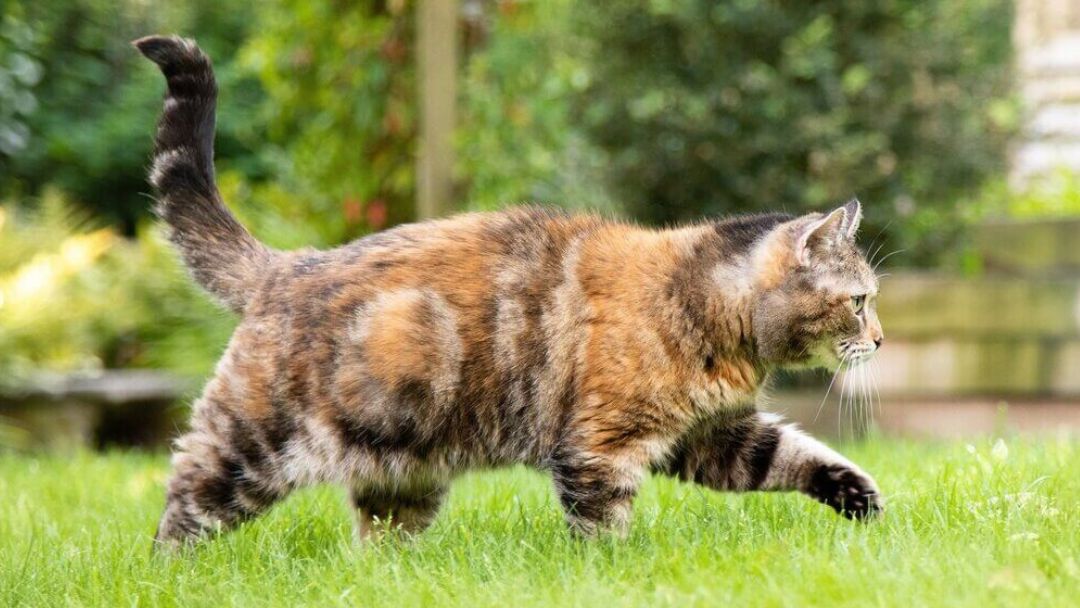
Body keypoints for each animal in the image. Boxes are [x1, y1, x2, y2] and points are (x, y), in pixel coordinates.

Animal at [135, 34, 885, 546]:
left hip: (400, 471)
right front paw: (611, 567)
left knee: (376, 540)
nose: (880, 340)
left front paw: (860, 496)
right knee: (186, 497)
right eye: (860, 301)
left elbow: (794, 456)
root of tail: (286, 264)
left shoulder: (710, 436)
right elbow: (602, 525)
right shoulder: (601, 445)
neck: (702, 303)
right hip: (253, 446)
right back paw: (172, 569)